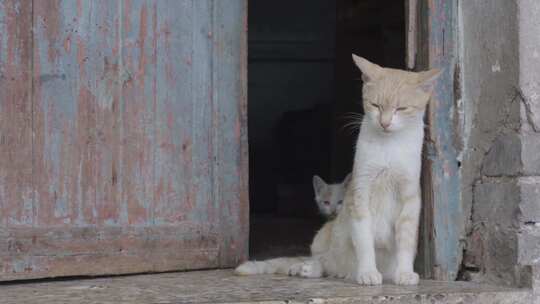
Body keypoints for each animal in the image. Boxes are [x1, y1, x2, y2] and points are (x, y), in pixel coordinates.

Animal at [235, 54, 438, 284]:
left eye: (401, 109)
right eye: (375, 105)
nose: (385, 123)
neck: (389, 147)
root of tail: (343, 273)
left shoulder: (410, 198)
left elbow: (406, 240)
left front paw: (404, 274)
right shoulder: (360, 194)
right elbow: (364, 240)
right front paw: (368, 272)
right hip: (322, 236)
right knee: (323, 260)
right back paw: (306, 268)